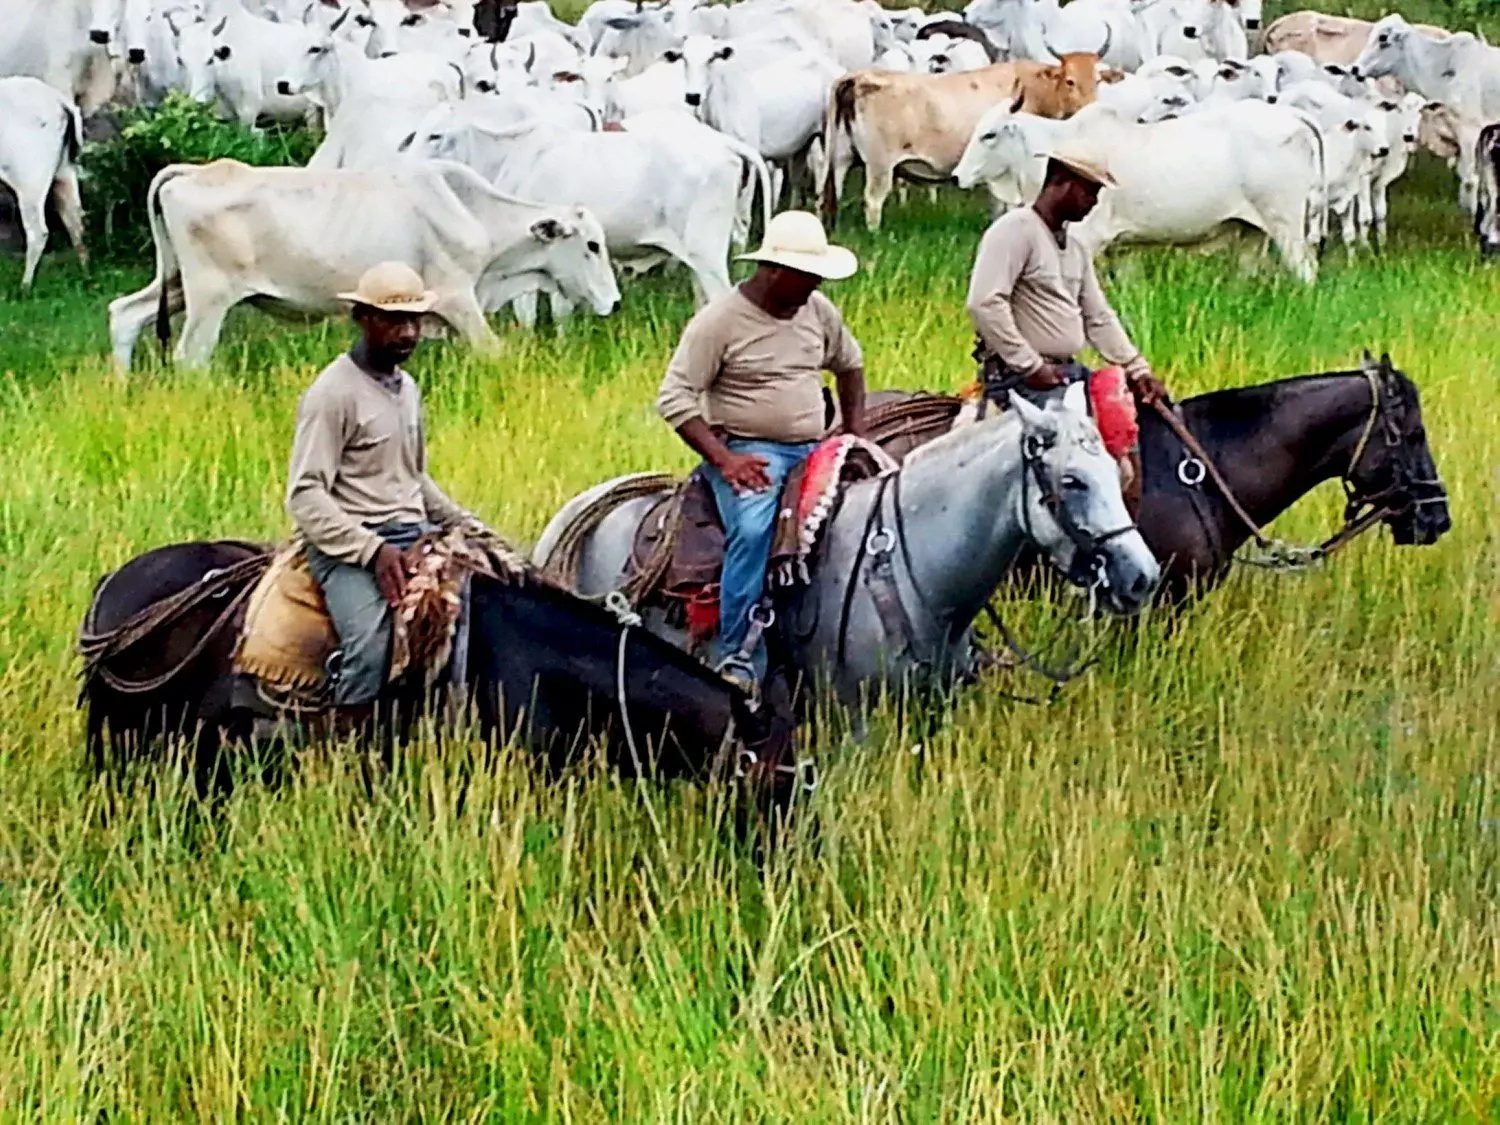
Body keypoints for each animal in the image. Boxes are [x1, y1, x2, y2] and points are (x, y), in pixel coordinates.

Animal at [0, 77, 87, 292]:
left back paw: (24, 287)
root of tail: (60, 102)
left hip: (30, 181)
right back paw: (85, 272)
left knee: (38, 232)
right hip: (64, 171)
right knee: (75, 220)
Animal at [822, 54, 1104, 229]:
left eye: (1097, 81)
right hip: (879, 165)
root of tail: (856, 78)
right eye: (1069, 81)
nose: (1091, 108)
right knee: (873, 201)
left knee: (832, 195)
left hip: (840, 157)